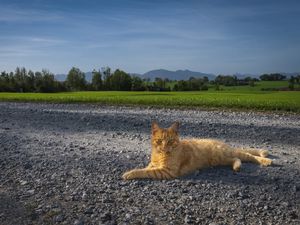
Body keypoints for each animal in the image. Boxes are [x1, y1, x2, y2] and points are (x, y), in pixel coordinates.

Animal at [122, 121, 272, 179]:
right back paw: (236, 167)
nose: (164, 147)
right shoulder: (154, 165)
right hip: (220, 159)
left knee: (247, 155)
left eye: (170, 141)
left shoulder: (167, 171)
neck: (159, 156)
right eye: (159, 141)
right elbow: (147, 167)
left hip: (225, 153)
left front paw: (129, 173)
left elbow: (144, 171)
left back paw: (266, 161)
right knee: (237, 158)